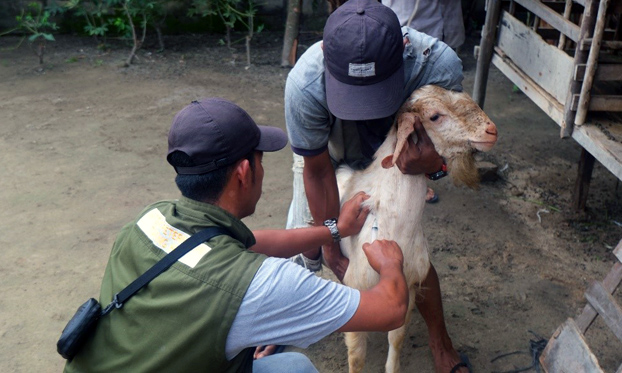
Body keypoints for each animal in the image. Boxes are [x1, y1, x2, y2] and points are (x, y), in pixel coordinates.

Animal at [338, 85, 500, 372]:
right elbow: (356, 358)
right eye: (434, 116)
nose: (491, 130)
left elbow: (397, 340)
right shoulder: (356, 289)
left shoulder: (410, 288)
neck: (394, 231)